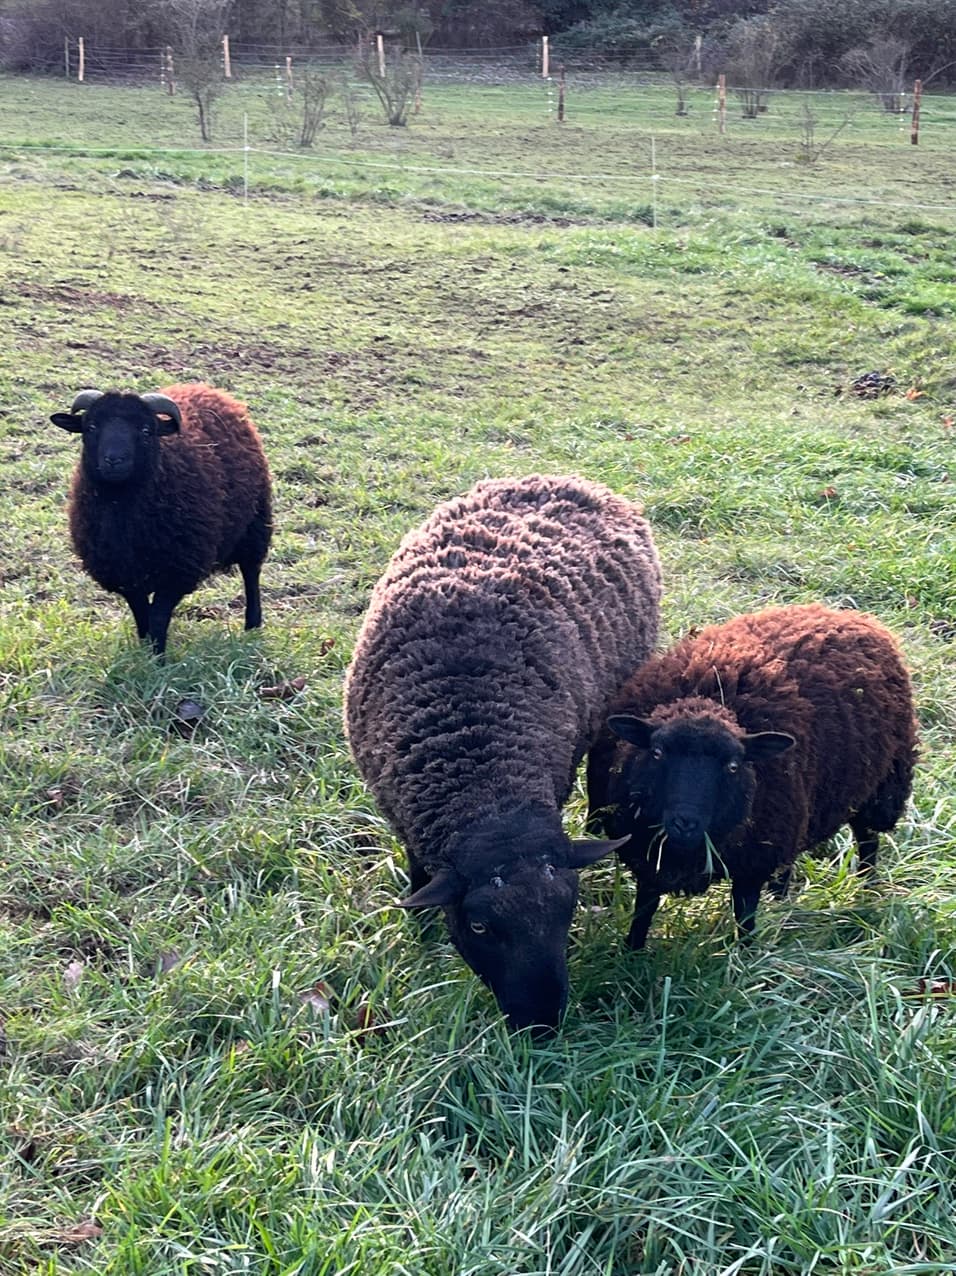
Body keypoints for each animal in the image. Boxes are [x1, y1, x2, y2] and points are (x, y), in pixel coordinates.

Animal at [50, 383, 273, 656]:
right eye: (91, 427)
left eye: (146, 430)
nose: (114, 460)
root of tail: (207, 389)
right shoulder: (124, 573)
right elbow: (142, 614)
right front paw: (145, 649)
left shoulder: (176, 571)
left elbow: (157, 617)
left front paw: (158, 657)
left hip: (256, 523)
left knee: (251, 573)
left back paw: (253, 624)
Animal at [344, 474, 662, 1031]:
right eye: (479, 927)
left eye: (568, 910)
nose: (541, 1025)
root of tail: (564, 476)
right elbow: (419, 875)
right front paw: (421, 931)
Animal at [589, 603, 918, 948]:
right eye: (657, 752)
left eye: (733, 765)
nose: (685, 822)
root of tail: (846, 614)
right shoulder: (648, 857)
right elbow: (644, 910)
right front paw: (632, 951)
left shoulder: (752, 865)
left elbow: (744, 917)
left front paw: (745, 954)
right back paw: (782, 898)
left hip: (883, 786)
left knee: (868, 839)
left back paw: (869, 889)